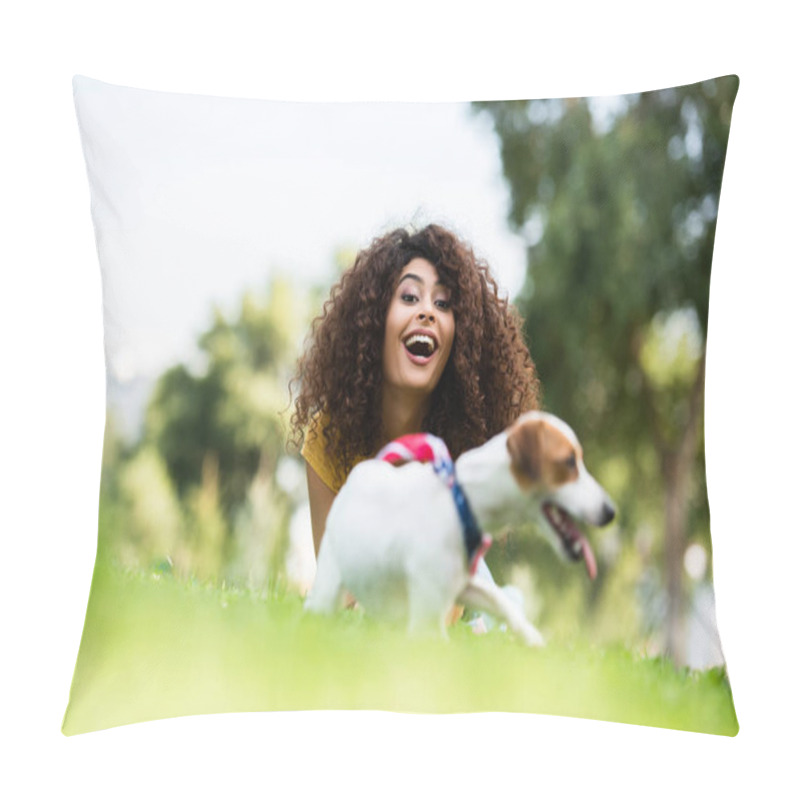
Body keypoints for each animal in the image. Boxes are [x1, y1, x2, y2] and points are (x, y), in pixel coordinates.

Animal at [304, 410, 616, 648]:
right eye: (569, 462)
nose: (610, 511)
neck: (462, 502)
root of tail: (363, 473)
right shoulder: (427, 617)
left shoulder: (463, 583)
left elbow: (501, 601)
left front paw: (532, 638)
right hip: (329, 583)